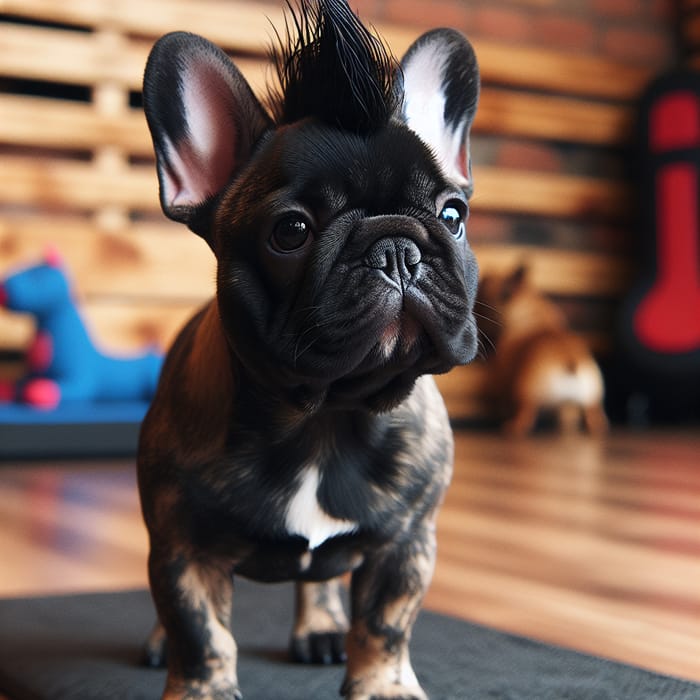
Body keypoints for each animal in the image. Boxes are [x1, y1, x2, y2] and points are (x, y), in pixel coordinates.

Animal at [141, 2, 482, 696]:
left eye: (454, 215)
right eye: (291, 231)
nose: (396, 248)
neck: (325, 415)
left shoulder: (407, 544)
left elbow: (384, 625)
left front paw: (384, 686)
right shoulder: (183, 548)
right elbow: (200, 634)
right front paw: (202, 686)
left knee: (320, 583)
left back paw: (320, 626)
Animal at [476, 264, 608, 434]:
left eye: (485, 284)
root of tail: (570, 360)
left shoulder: (504, 372)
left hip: (526, 393)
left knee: (526, 412)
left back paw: (514, 427)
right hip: (592, 397)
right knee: (593, 413)